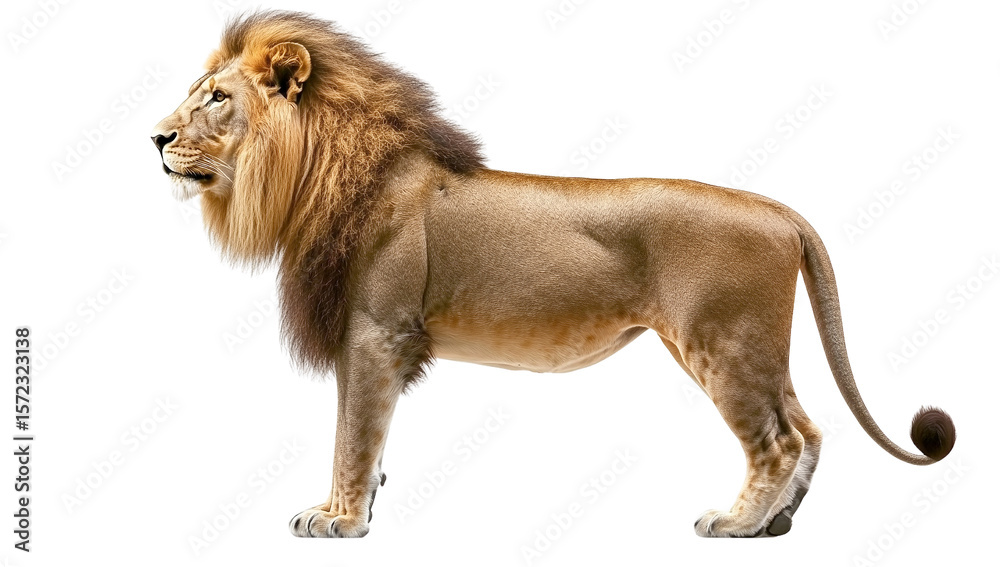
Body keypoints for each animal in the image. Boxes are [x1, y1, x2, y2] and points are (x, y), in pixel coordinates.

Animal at [151, 11, 956, 538]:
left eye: (216, 97)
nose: (155, 138)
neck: (313, 176)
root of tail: (778, 208)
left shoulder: (376, 332)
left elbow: (353, 432)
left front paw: (340, 520)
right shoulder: (366, 337)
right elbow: (366, 435)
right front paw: (359, 506)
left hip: (723, 341)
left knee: (779, 440)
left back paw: (735, 523)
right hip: (754, 345)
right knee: (809, 426)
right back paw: (781, 522)